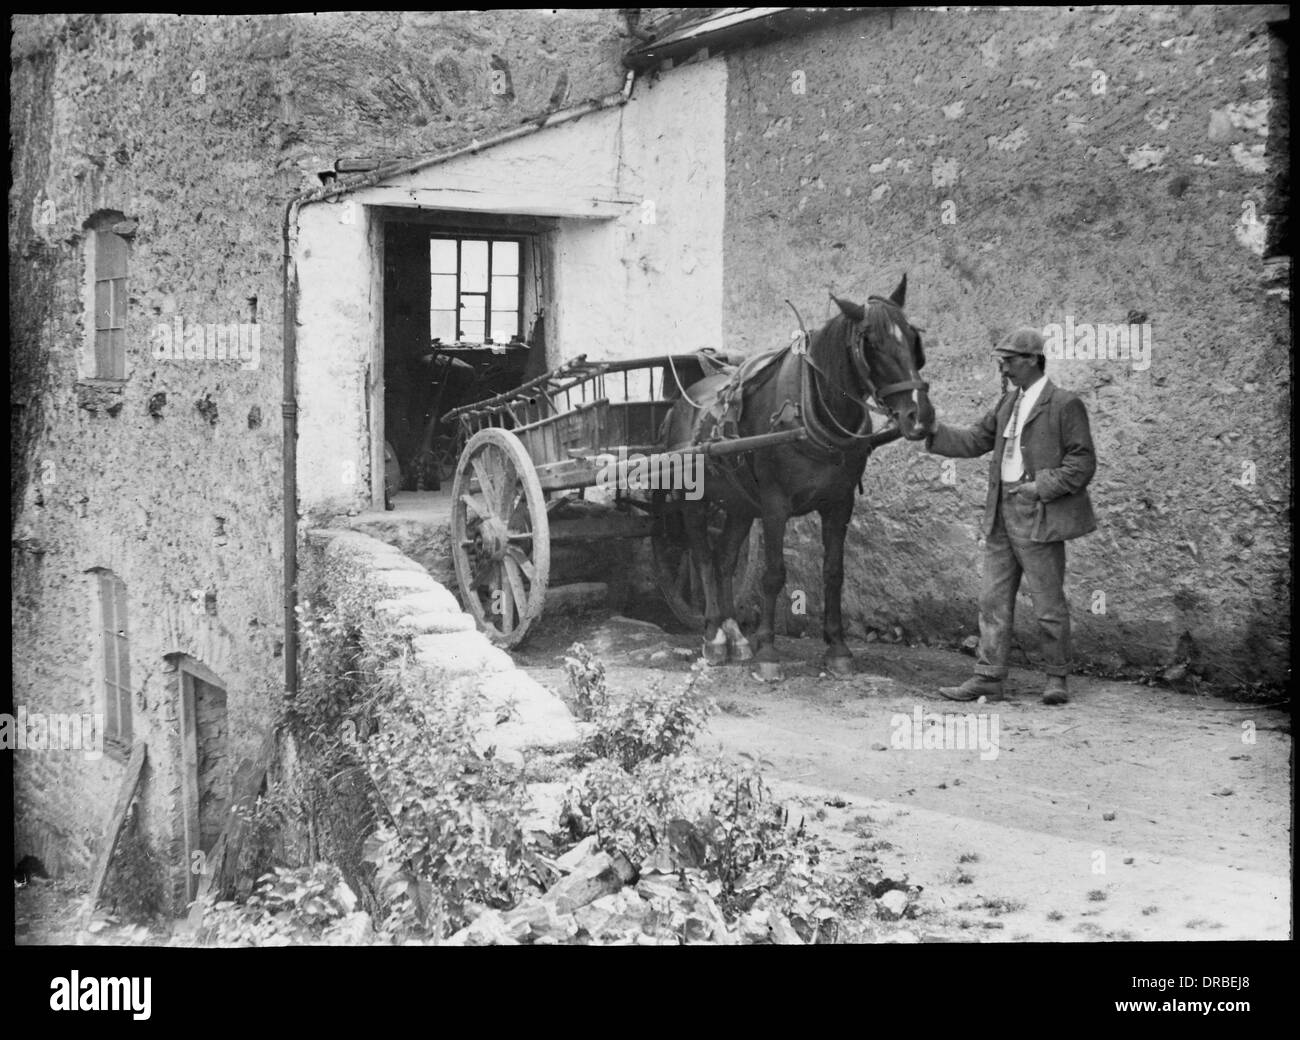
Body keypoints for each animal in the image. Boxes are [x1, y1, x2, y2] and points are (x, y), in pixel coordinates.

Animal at [660, 275, 935, 676]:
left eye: (915, 340)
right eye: (872, 343)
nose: (920, 415)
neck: (810, 410)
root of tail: (683, 402)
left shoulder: (839, 503)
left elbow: (834, 572)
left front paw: (837, 648)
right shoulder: (775, 504)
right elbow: (774, 574)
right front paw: (768, 652)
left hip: (740, 503)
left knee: (725, 559)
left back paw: (734, 635)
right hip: (693, 501)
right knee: (703, 558)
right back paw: (713, 635)